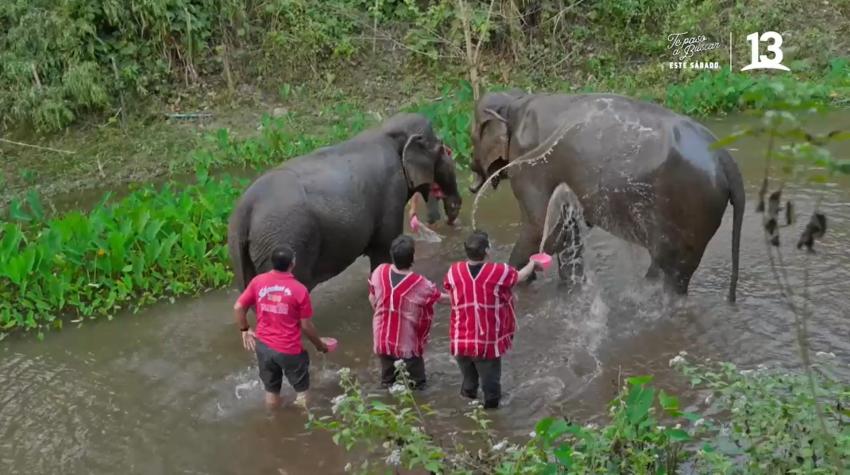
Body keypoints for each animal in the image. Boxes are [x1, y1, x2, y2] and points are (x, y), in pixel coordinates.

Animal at [225, 113, 460, 292]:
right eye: (443, 149)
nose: (449, 222)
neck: (385, 129)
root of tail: (245, 210)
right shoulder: (392, 189)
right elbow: (384, 248)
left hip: (242, 252)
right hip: (285, 238)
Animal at [470, 91, 744, 304]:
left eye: (471, 136)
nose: (473, 180)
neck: (515, 102)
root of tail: (726, 159)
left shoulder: (530, 164)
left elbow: (538, 228)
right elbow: (565, 230)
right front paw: (570, 290)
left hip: (690, 209)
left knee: (669, 269)